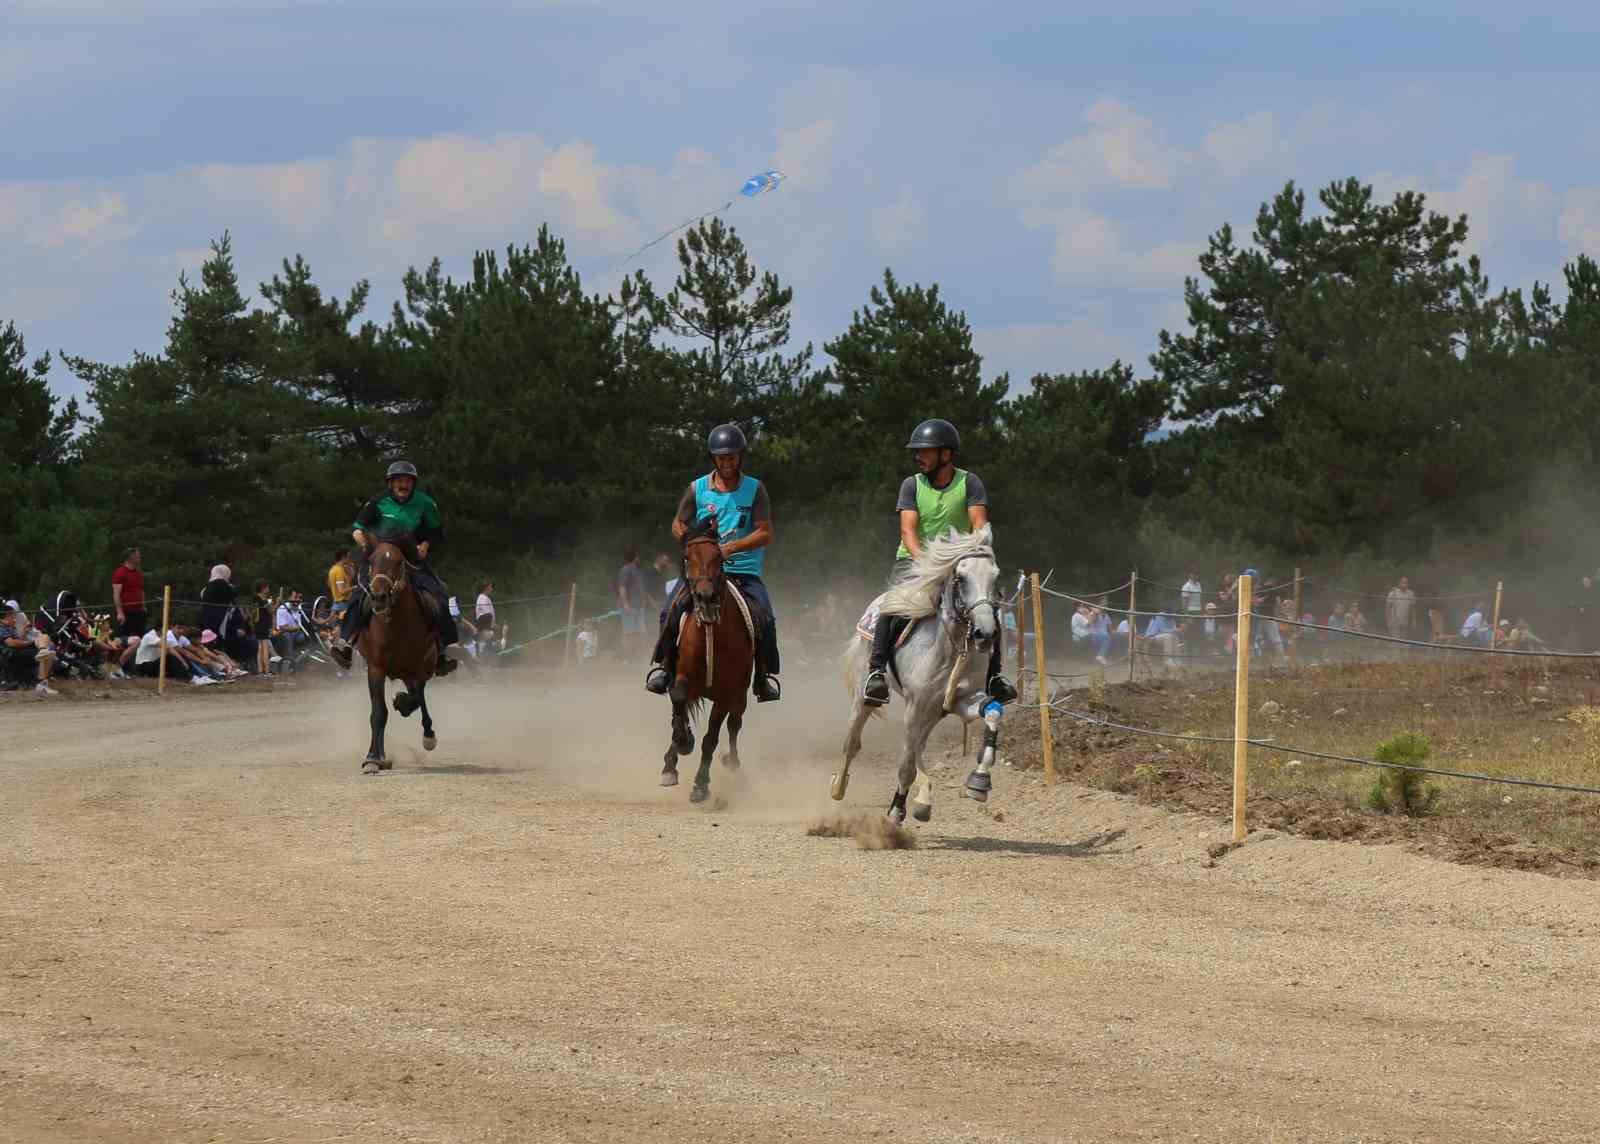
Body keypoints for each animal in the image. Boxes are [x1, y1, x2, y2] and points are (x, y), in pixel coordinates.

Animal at [358, 540, 438, 774]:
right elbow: (379, 712)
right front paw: (373, 758)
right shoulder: (375, 668)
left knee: (419, 697)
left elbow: (417, 697)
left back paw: (427, 732)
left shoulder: (422, 667)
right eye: (371, 561)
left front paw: (402, 703)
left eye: (399, 562)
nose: (378, 597)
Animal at [665, 515, 758, 800]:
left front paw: (701, 785)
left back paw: (732, 761)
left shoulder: (726, 694)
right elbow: (678, 700)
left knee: (735, 724)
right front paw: (682, 744)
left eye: (718, 556)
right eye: (686, 557)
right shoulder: (682, 677)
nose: (706, 598)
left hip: (740, 694)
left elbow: (712, 737)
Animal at [838, 528, 998, 825]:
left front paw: (979, 782)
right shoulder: (915, 706)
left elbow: (993, 712)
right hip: (865, 697)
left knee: (919, 745)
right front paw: (895, 813)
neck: (950, 649)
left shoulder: (963, 701)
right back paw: (838, 787)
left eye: (995, 576)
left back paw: (924, 799)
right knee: (853, 742)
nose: (985, 633)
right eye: (961, 578)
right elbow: (905, 764)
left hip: (934, 711)